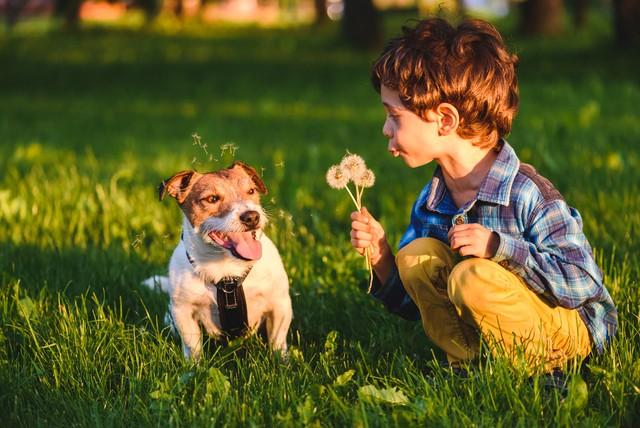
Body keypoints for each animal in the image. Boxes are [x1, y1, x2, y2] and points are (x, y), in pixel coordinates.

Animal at [144, 162, 292, 360]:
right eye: (212, 198)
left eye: (251, 190)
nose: (252, 216)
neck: (226, 267)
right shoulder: (183, 311)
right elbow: (192, 346)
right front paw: (194, 366)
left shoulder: (280, 305)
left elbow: (277, 341)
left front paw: (280, 362)